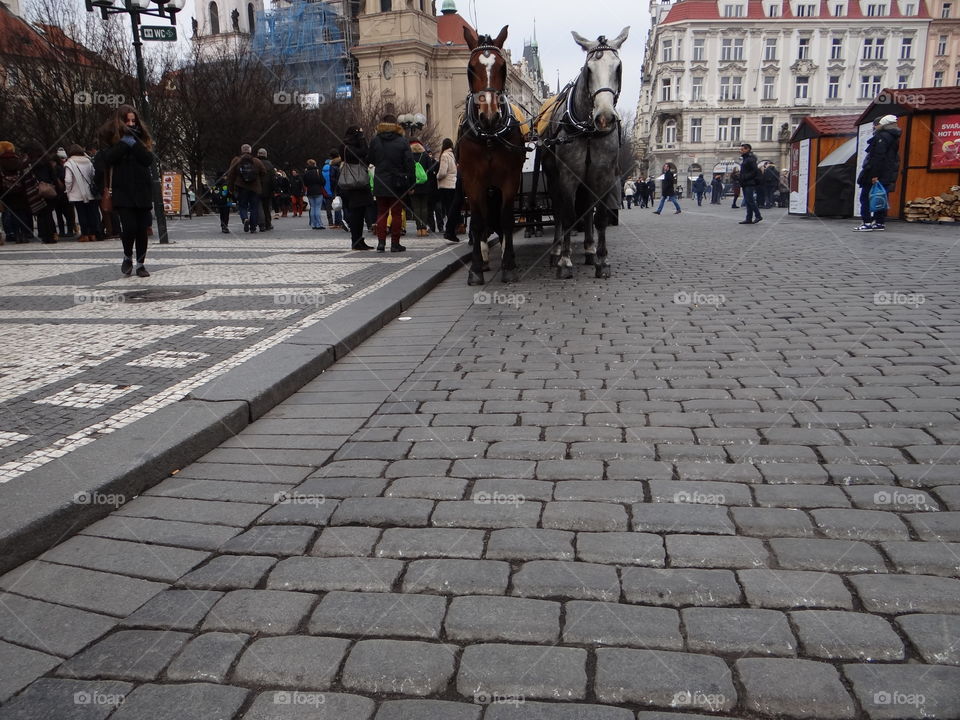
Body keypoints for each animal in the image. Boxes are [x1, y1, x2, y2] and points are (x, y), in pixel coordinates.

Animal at [456, 25, 524, 284]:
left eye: (503, 68)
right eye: (470, 68)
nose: (490, 116)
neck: (488, 138)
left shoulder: (510, 179)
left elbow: (506, 219)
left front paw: (509, 264)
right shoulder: (472, 181)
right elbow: (477, 221)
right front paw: (475, 268)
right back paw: (484, 257)